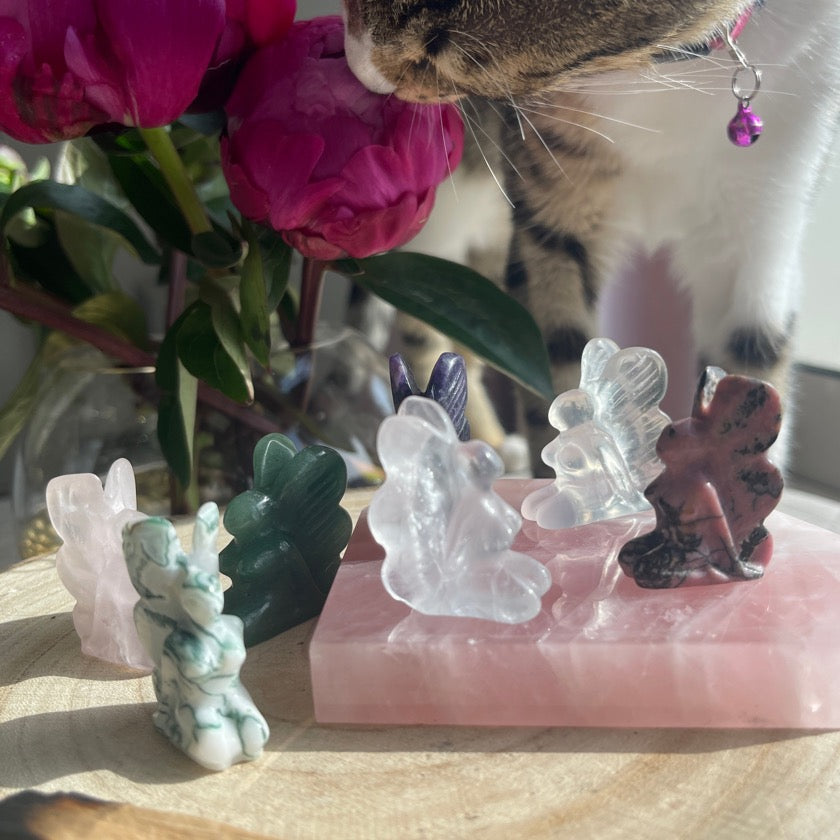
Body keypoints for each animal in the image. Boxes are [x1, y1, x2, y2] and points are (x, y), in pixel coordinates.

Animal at [342, 0, 840, 472]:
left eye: (438, 52)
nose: (357, 70)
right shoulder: (551, 216)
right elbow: (558, 372)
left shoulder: (760, 231)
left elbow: (755, 367)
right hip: (447, 211)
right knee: (425, 329)